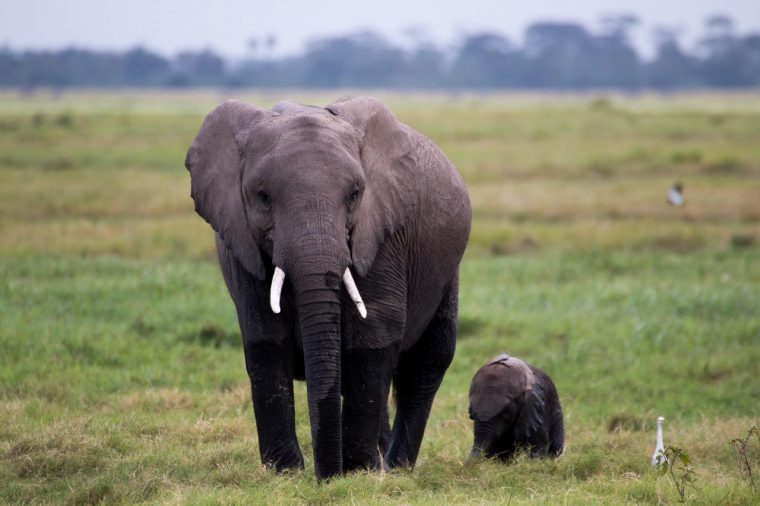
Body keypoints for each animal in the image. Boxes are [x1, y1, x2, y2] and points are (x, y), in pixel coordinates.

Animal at [184, 97, 470, 480]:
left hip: (446, 269)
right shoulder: (241, 241)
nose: (324, 477)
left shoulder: (382, 235)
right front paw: (284, 473)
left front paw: (356, 472)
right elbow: (264, 336)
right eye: (262, 197)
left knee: (427, 360)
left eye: (355, 194)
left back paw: (395, 467)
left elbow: (372, 334)